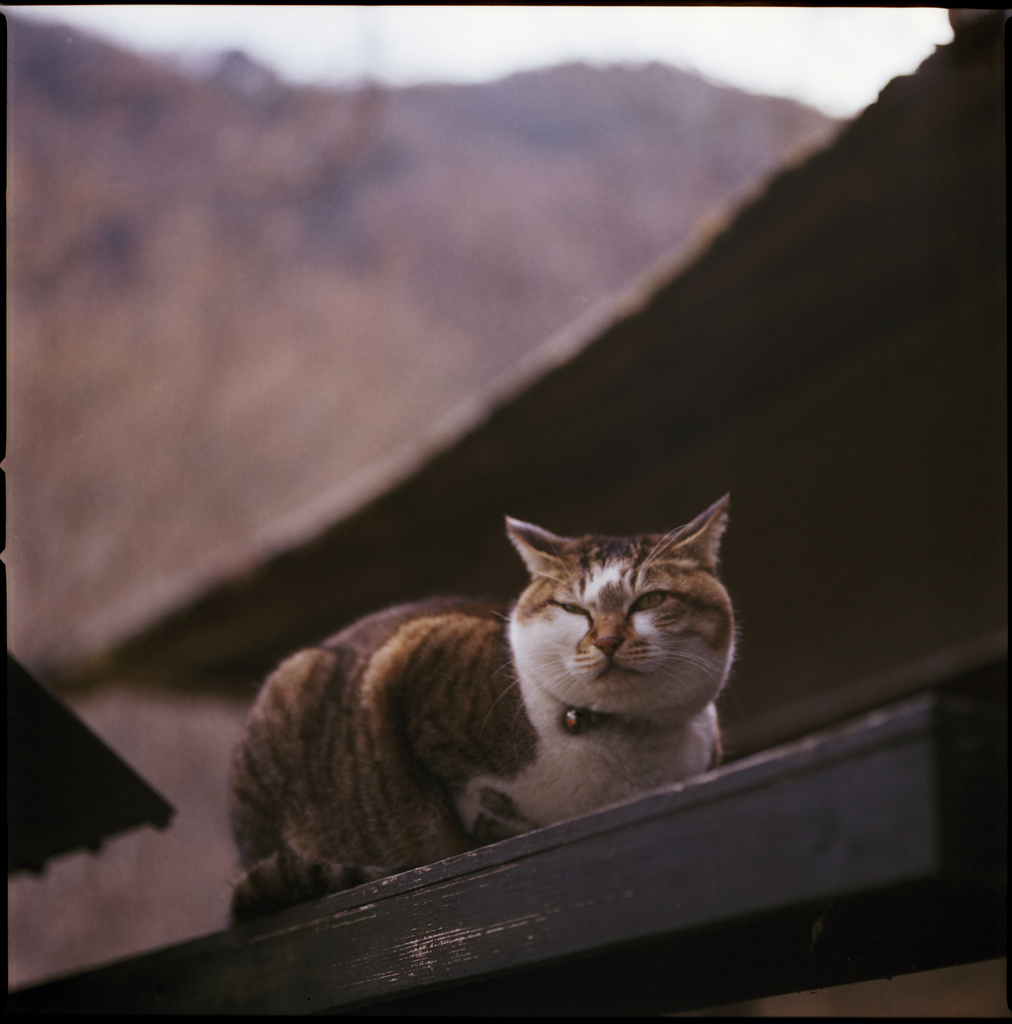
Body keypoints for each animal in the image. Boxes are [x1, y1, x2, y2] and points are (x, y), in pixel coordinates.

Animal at [227, 493, 733, 921]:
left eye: (651, 599)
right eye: (572, 609)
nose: (607, 641)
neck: (624, 737)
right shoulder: (411, 657)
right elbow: (469, 804)